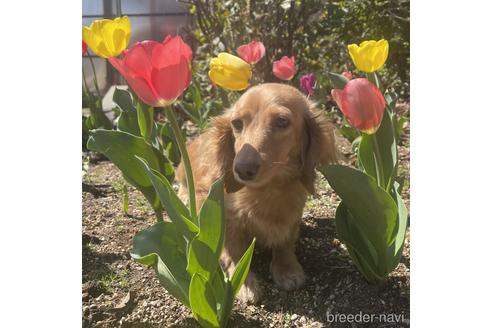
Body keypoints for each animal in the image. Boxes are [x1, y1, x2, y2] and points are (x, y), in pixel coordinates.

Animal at [178, 82, 338, 302]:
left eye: (282, 121)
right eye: (236, 123)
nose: (242, 169)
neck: (267, 191)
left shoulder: (292, 218)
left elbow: (285, 243)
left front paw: (287, 269)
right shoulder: (226, 220)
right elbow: (234, 253)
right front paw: (243, 282)